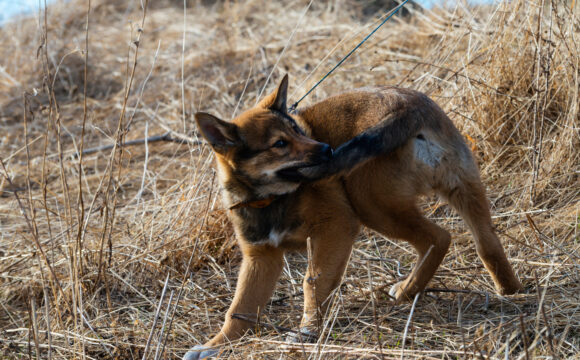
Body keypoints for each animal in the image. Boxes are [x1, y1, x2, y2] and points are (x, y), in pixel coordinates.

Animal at [185, 74, 520, 358]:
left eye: (297, 130)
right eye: (279, 144)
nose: (327, 150)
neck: (268, 199)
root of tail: (407, 106)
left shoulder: (335, 228)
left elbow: (312, 281)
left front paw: (308, 330)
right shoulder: (261, 259)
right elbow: (239, 308)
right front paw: (214, 346)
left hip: (371, 204)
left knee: (439, 237)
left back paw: (409, 289)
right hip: (463, 188)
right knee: (485, 244)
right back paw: (505, 290)